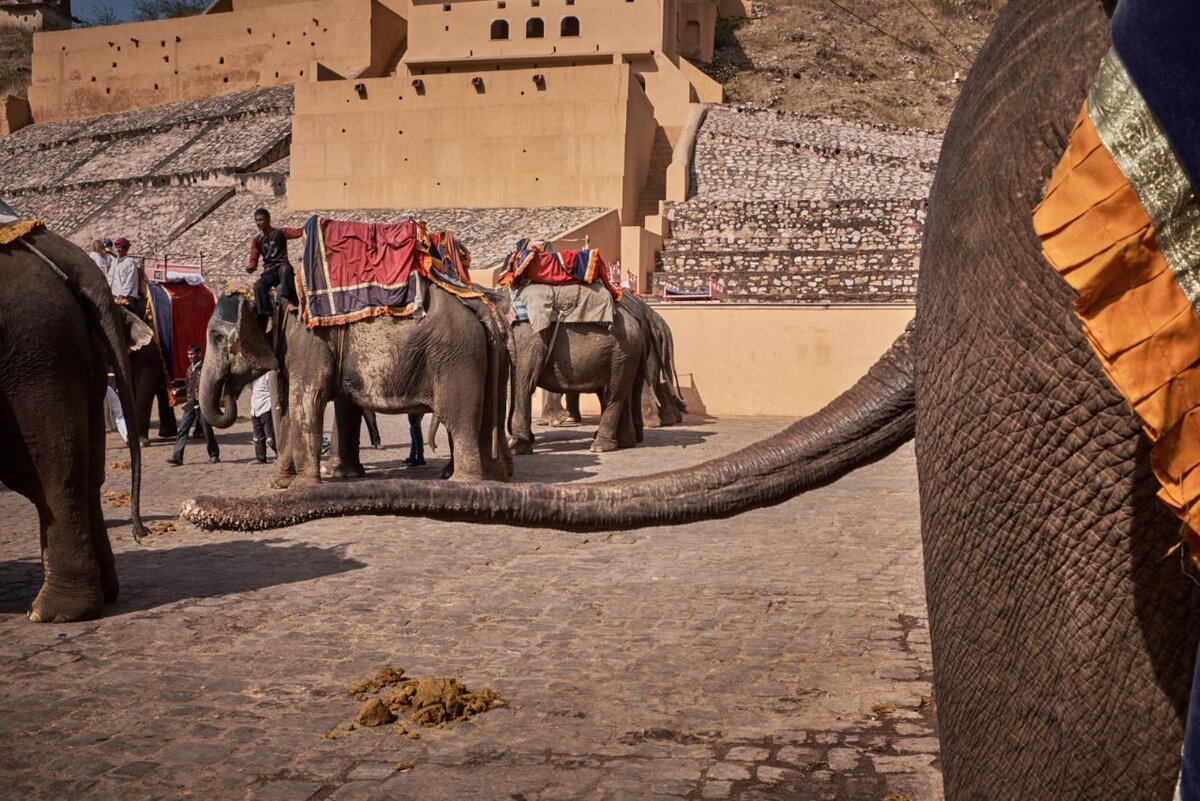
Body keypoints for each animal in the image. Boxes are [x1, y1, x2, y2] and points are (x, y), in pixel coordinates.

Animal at [199, 287, 508, 489]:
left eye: (216, 337)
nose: (228, 395)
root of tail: (476, 307)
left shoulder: (309, 341)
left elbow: (306, 400)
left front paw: (302, 486)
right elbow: (341, 406)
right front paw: (284, 483)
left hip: (458, 360)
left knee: (459, 419)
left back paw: (462, 482)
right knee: (482, 420)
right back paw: (488, 476)